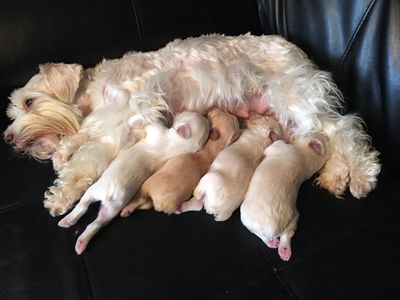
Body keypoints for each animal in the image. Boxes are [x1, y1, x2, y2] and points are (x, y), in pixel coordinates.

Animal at [3, 34, 380, 217]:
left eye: (29, 102)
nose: (7, 137)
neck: (89, 93)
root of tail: (301, 52)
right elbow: (75, 143)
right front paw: (62, 153)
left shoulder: (121, 123)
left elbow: (83, 165)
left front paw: (59, 196)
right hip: (285, 113)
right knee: (324, 138)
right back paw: (335, 177)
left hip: (293, 96)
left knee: (343, 129)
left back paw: (363, 176)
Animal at [58, 111, 211, 254]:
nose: (177, 113)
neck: (181, 145)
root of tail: (113, 193)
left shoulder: (156, 131)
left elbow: (141, 122)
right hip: (111, 210)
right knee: (94, 223)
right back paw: (78, 239)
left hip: (96, 193)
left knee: (83, 207)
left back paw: (68, 223)